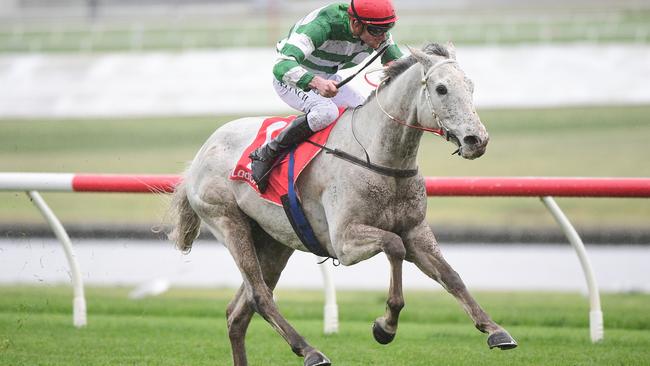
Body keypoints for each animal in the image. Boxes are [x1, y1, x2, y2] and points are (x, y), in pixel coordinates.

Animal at [168, 43, 516, 366]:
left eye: (471, 86)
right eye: (442, 88)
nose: (476, 140)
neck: (380, 157)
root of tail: (199, 156)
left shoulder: (415, 230)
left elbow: (451, 275)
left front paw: (495, 330)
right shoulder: (345, 241)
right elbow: (394, 246)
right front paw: (385, 326)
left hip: (272, 241)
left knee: (238, 312)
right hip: (228, 222)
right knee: (260, 296)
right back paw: (310, 350)